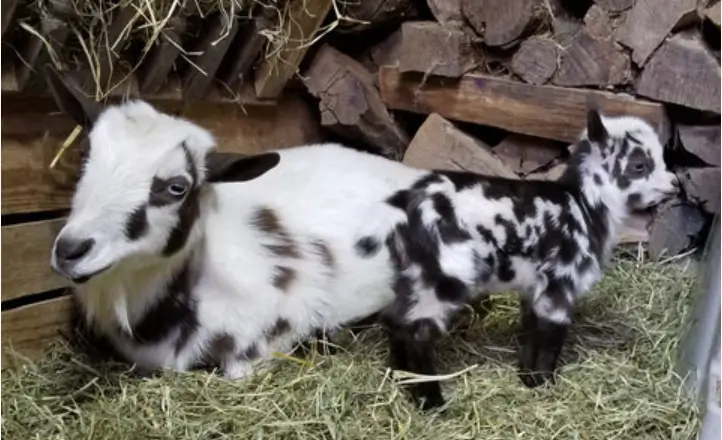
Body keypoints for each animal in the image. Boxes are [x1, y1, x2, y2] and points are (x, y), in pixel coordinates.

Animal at [372, 110, 680, 409]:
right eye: (639, 165)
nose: (675, 183)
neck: (583, 206)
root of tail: (406, 212)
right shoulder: (560, 281)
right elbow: (551, 334)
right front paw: (544, 381)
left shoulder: (535, 286)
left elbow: (531, 327)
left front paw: (527, 377)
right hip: (444, 277)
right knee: (416, 333)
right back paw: (431, 401)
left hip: (414, 276)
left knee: (395, 321)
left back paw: (400, 378)